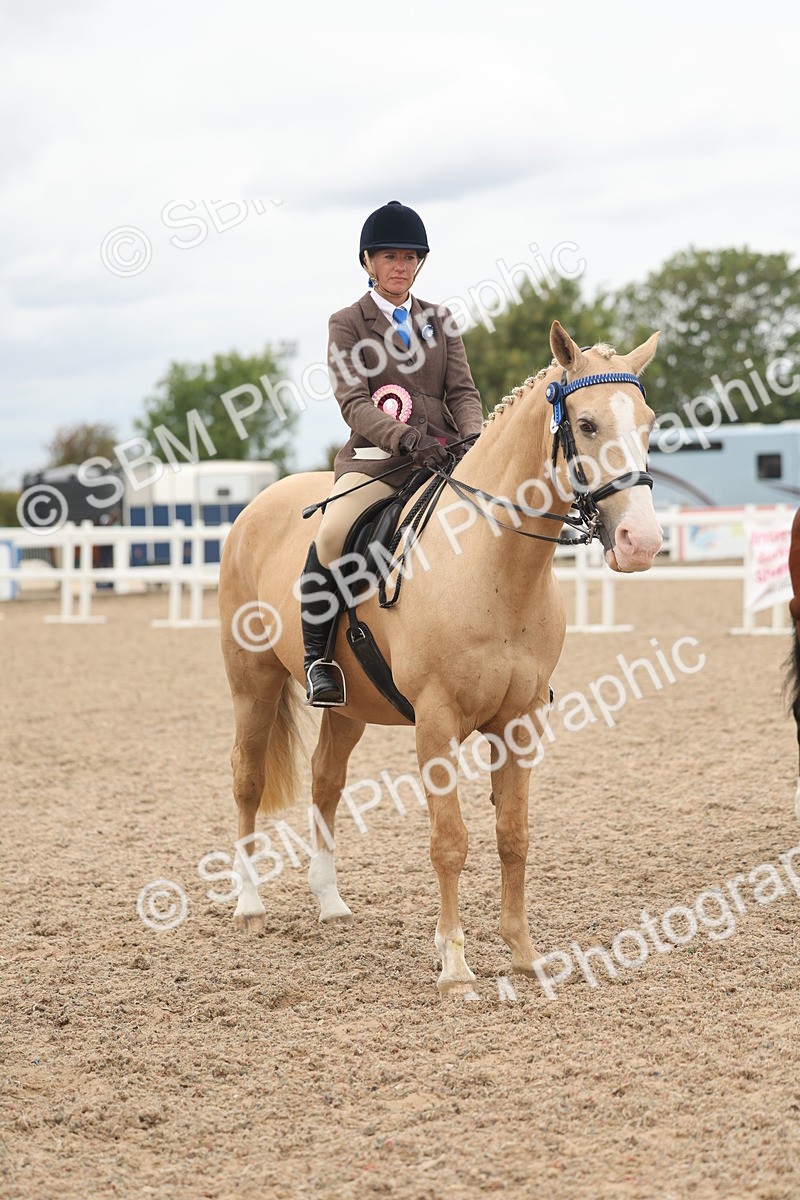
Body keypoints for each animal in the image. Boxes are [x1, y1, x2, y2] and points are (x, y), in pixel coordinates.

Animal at [218, 320, 663, 996]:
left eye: (648, 422)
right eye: (585, 424)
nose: (642, 543)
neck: (492, 564)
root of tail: (255, 507)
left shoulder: (520, 721)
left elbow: (513, 835)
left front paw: (524, 954)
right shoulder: (436, 720)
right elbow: (449, 840)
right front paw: (454, 965)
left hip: (348, 705)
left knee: (325, 780)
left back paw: (330, 902)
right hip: (253, 684)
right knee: (246, 780)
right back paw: (249, 905)